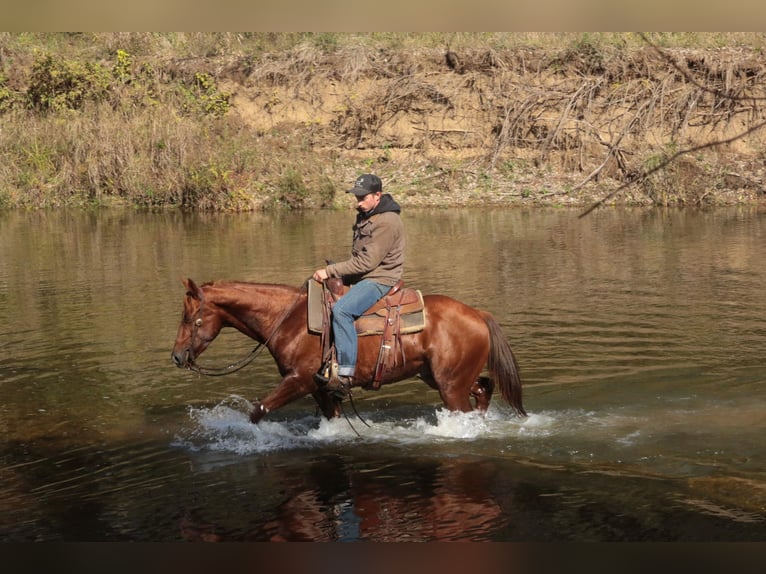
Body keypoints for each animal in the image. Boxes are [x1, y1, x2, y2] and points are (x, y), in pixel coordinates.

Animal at [171, 278, 526, 423]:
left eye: (189, 317)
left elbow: (258, 411)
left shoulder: (299, 380)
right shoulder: (320, 387)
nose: (177, 356)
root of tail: (478, 313)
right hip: (442, 377)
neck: (289, 318)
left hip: (450, 386)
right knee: (484, 387)